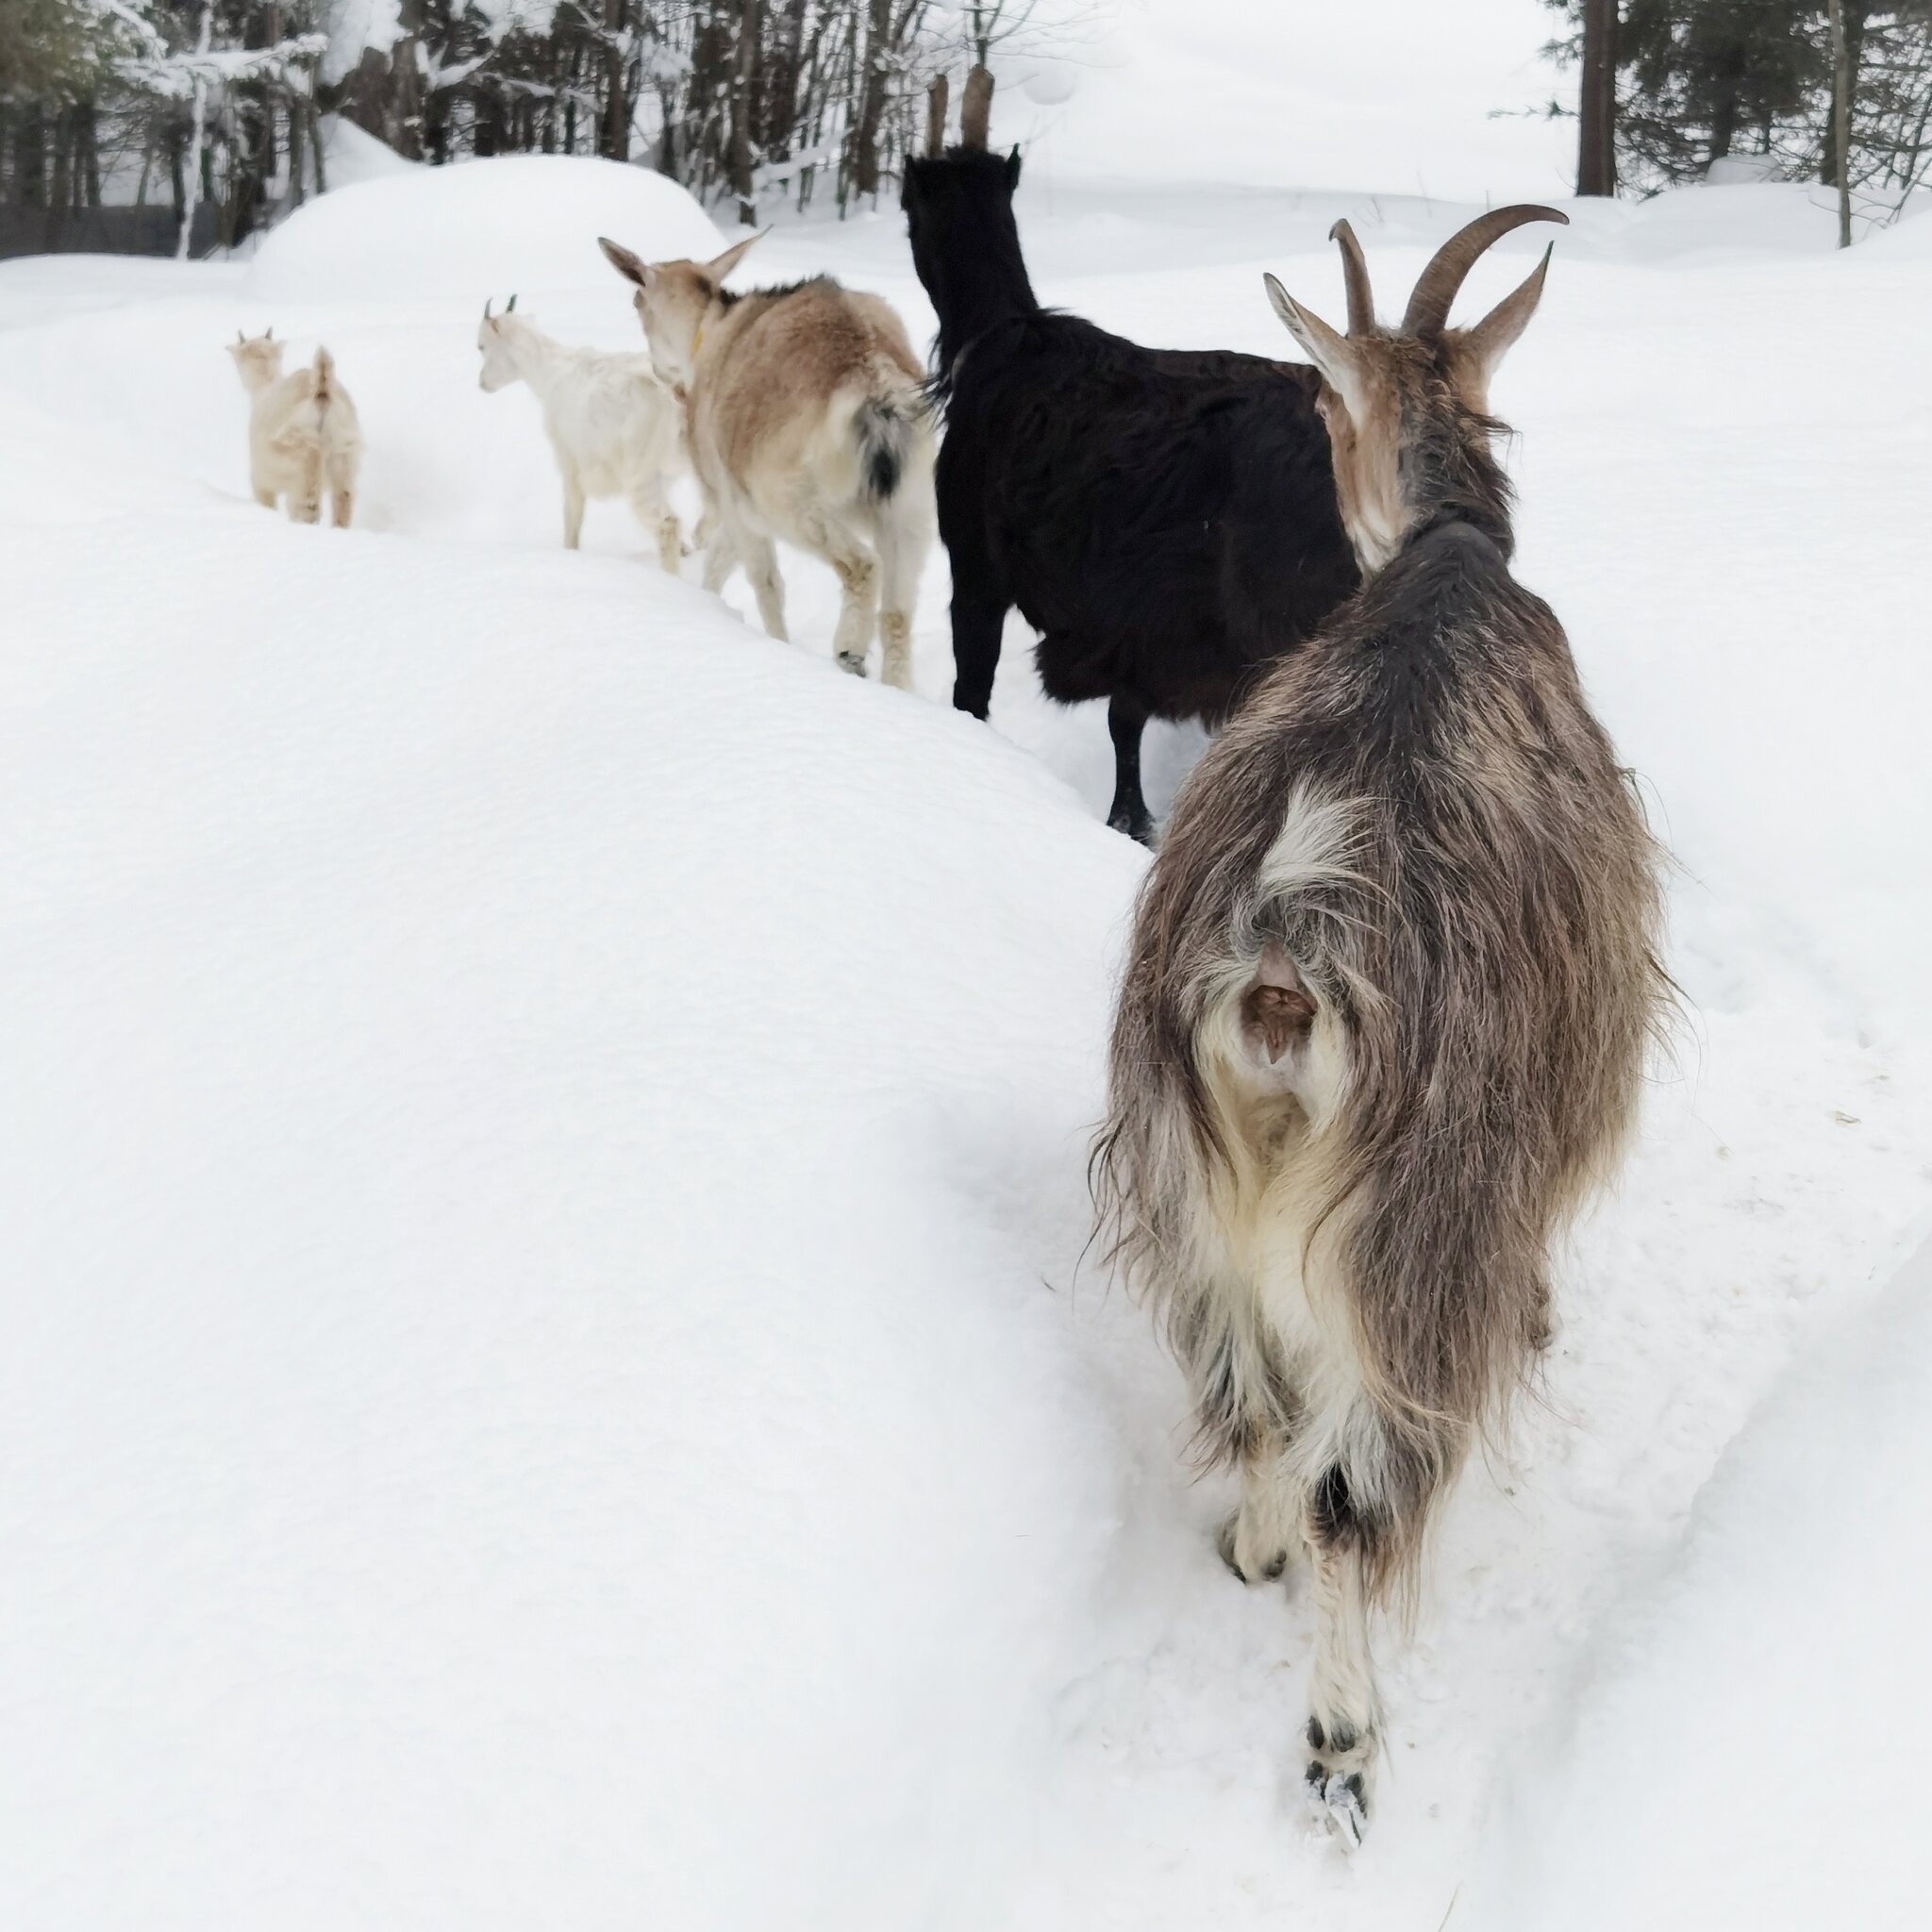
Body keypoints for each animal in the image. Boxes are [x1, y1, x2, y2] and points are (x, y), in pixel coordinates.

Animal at [602, 229, 935, 691]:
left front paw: (775, 643)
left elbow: (765, 584)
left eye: (638, 303)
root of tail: (874, 379)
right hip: (909, 508)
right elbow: (721, 563)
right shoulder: (735, 508)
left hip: (788, 498)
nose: (660, 372)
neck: (710, 333)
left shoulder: (736, 501)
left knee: (862, 565)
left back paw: (849, 651)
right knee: (898, 616)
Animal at [904, 71, 1359, 841]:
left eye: (908, 208)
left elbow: (976, 684)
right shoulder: (1138, 634)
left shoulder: (979, 568)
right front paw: (1132, 817)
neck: (1004, 337)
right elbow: (1126, 720)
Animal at [1097, 204, 1669, 1846]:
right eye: (1333, 409)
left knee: (1248, 1404)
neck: (1452, 556)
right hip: (1418, 1215)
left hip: (1189, 1180)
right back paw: (1343, 1745)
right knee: (1357, 1489)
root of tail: (1288, 942)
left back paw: (1252, 1555)